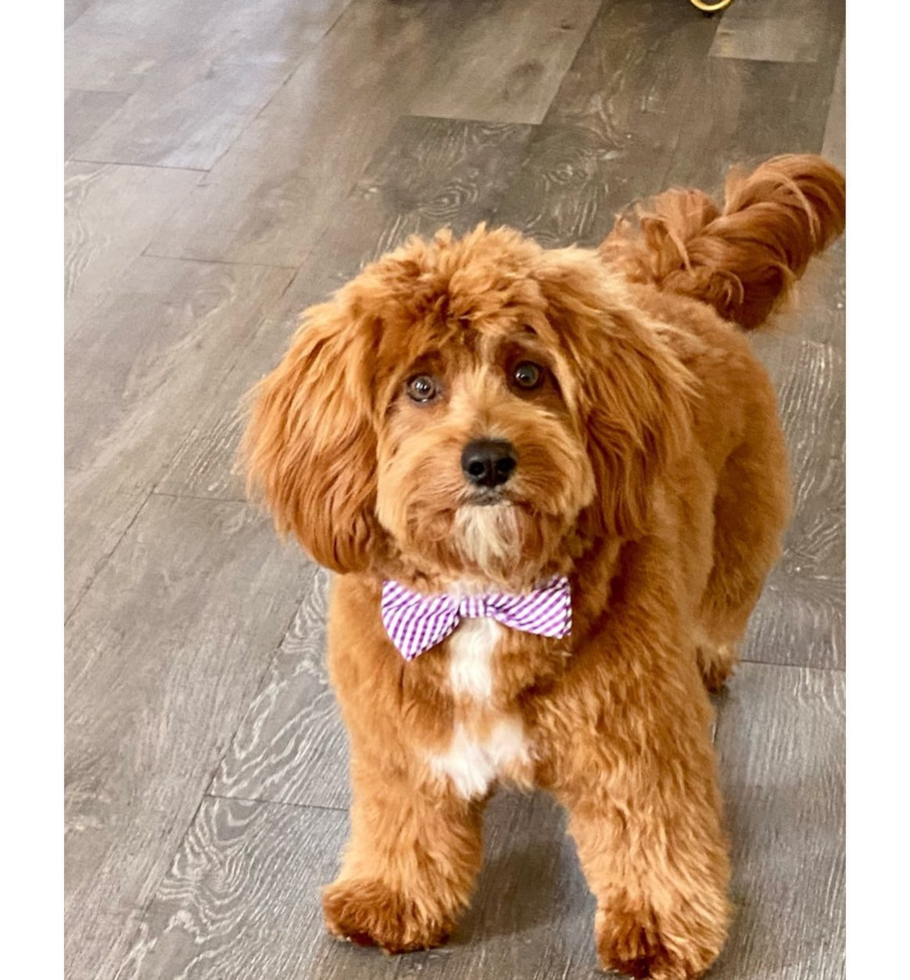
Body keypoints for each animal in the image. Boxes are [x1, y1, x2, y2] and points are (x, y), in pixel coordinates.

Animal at [242, 155, 848, 980]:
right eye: (420, 386)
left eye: (528, 374)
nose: (489, 458)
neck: (484, 592)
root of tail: (676, 287)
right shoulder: (402, 734)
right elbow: (405, 816)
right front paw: (392, 898)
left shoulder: (635, 738)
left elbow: (650, 832)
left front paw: (659, 928)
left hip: (745, 523)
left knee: (723, 603)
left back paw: (707, 654)